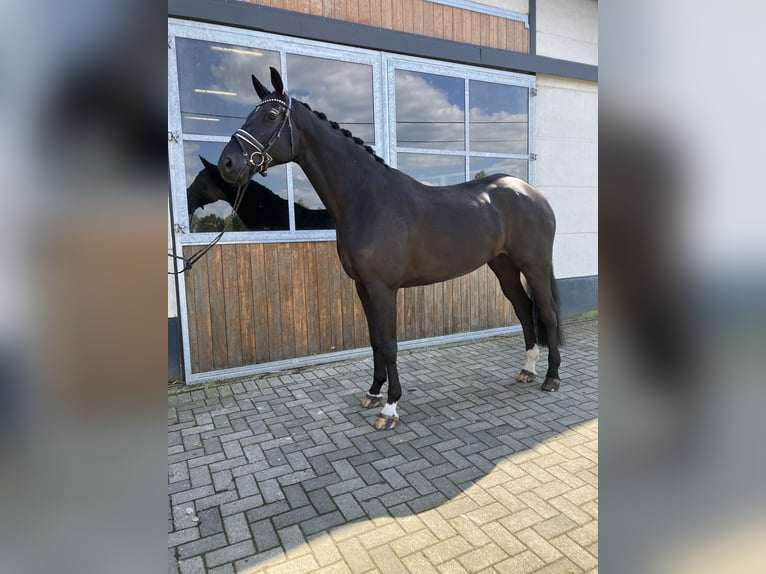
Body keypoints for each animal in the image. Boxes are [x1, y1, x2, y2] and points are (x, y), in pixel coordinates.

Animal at [217, 68, 563, 430]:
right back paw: (527, 370)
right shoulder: (362, 287)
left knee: (547, 314)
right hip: (504, 267)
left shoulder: (384, 288)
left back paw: (551, 378)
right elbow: (374, 341)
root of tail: (533, 194)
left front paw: (390, 407)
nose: (227, 164)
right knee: (524, 310)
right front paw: (373, 392)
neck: (367, 200)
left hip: (535, 267)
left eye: (270, 116)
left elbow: (389, 343)